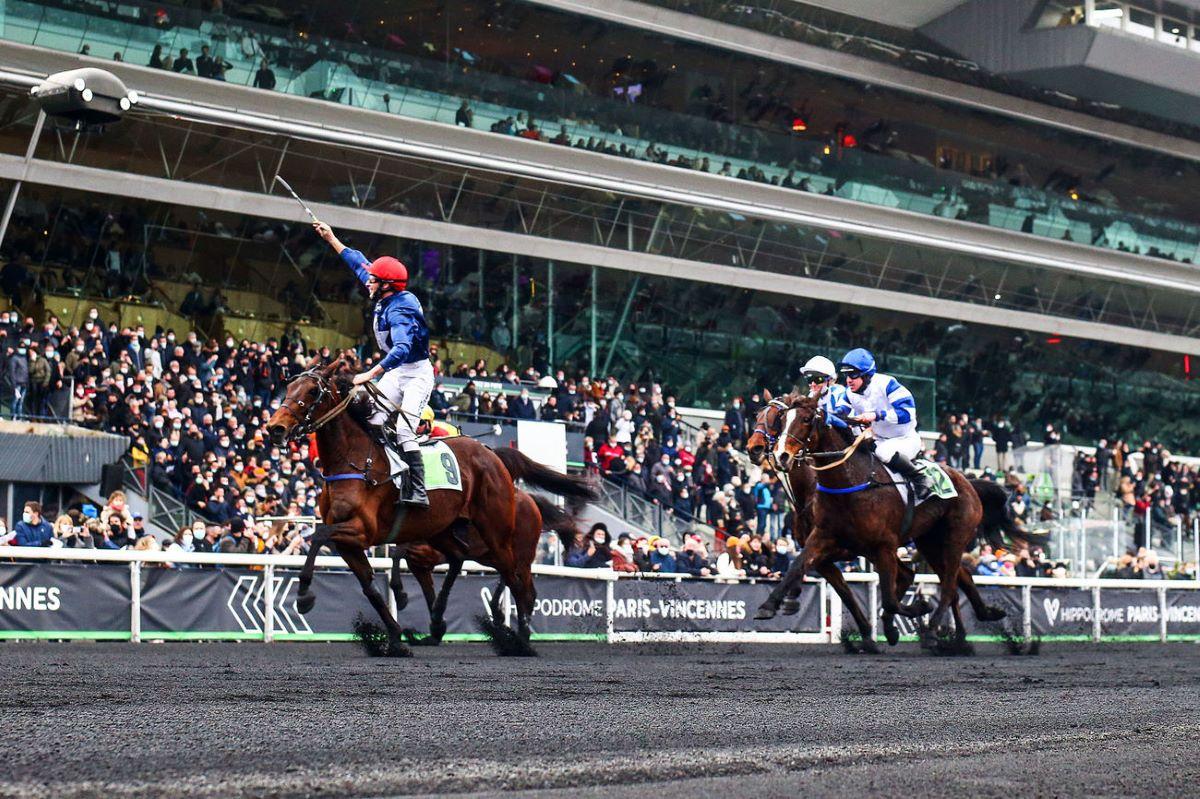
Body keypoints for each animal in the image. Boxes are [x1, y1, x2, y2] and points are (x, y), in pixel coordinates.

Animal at [267, 352, 595, 652]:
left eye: (312, 391)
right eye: (289, 386)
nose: (275, 428)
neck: (356, 460)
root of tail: (493, 456)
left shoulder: (364, 530)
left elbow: (320, 536)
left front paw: (304, 596)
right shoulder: (352, 541)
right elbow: (370, 586)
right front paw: (396, 638)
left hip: (499, 536)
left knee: (517, 581)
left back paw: (519, 639)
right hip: (448, 531)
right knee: (467, 562)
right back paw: (446, 625)